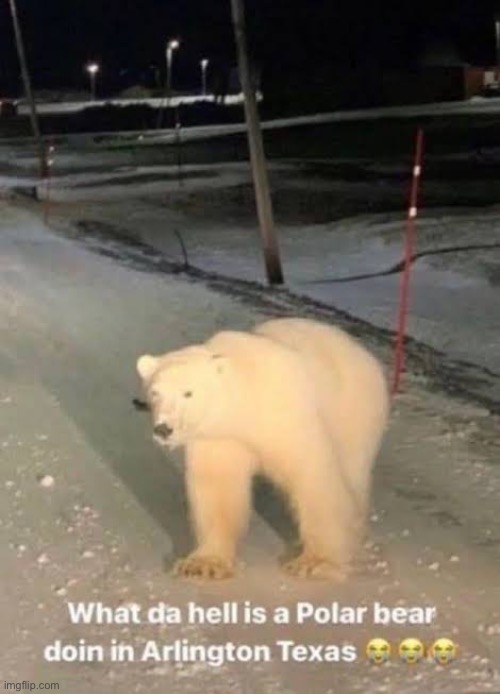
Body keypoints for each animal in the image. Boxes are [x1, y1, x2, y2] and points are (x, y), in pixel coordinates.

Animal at [136, 317, 389, 581]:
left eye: (188, 392)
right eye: (154, 392)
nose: (163, 429)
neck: (245, 399)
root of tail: (359, 350)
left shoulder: (283, 413)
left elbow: (312, 476)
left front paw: (315, 562)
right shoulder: (220, 436)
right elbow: (218, 487)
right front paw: (204, 564)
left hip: (353, 409)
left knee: (352, 472)